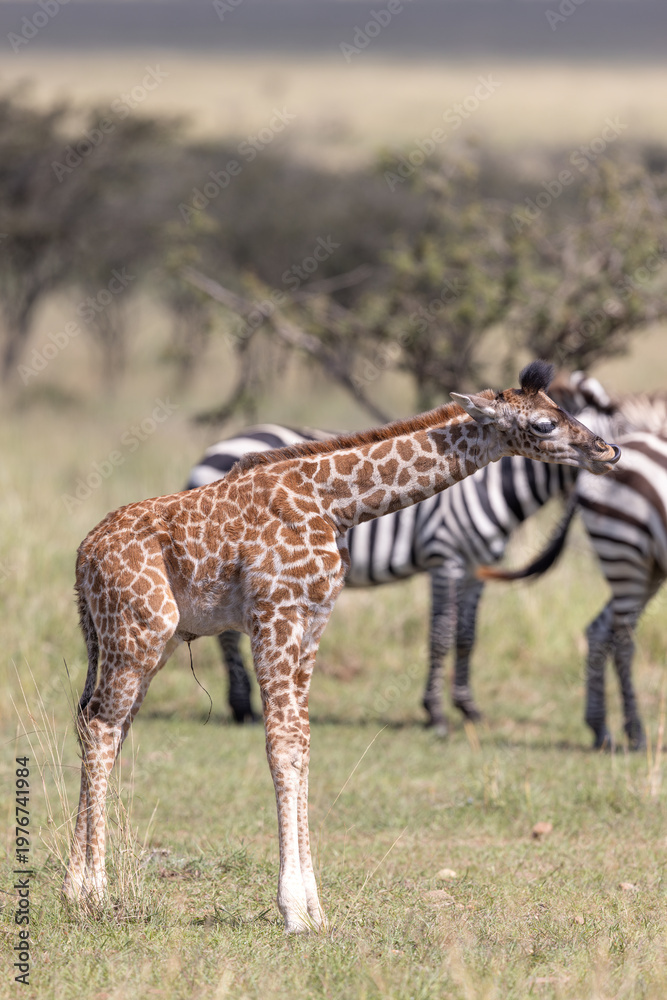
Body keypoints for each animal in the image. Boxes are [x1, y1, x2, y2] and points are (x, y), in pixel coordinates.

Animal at [63, 361, 620, 933]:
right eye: (544, 424)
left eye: (562, 408)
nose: (607, 451)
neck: (337, 505)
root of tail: (82, 558)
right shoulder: (275, 613)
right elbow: (282, 746)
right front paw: (292, 909)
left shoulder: (313, 622)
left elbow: (304, 746)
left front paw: (315, 909)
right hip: (138, 633)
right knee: (102, 727)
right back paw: (94, 894)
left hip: (149, 641)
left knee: (101, 725)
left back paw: (74, 889)